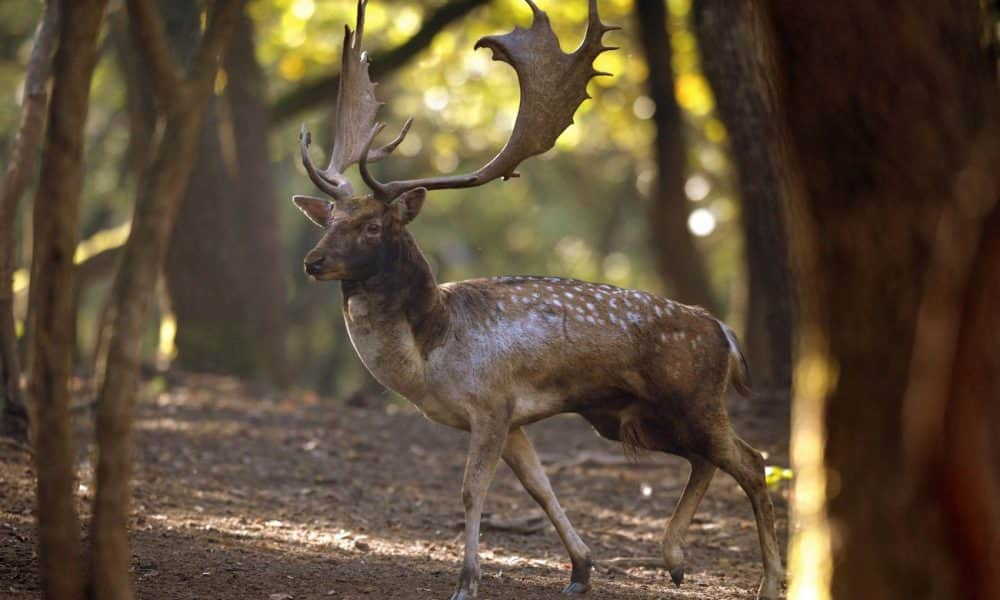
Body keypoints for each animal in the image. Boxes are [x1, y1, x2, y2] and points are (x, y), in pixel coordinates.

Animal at [292, 2, 784, 596]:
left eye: (370, 226)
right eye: (330, 219)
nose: (313, 262)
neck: (430, 357)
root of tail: (724, 332)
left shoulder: (492, 404)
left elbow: (471, 491)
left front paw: (467, 582)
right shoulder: (514, 421)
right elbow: (541, 486)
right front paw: (580, 570)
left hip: (693, 397)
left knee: (753, 461)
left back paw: (769, 580)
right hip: (631, 414)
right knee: (709, 461)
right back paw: (674, 559)